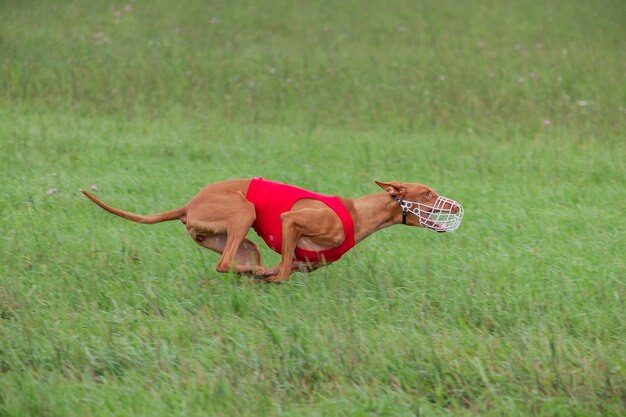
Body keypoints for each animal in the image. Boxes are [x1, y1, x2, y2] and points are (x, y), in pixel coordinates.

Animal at [80, 177, 460, 282]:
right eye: (427, 193)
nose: (457, 207)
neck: (358, 213)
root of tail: (189, 204)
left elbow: (284, 271)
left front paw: (263, 278)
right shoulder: (292, 222)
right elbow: (283, 274)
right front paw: (269, 278)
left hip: (238, 241)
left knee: (236, 262)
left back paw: (252, 273)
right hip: (244, 211)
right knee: (225, 264)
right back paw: (254, 273)